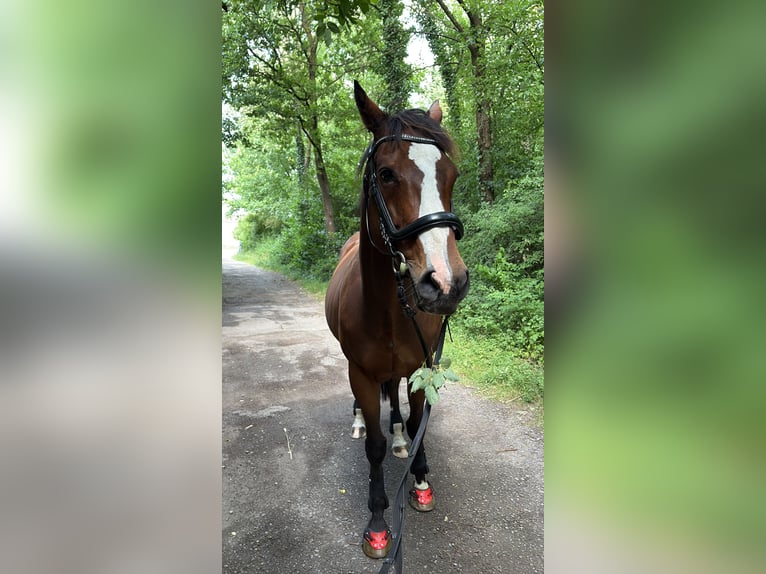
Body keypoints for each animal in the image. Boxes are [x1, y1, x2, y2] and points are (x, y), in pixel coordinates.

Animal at [325, 81, 470, 560]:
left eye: (451, 175)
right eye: (386, 174)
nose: (446, 282)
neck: (387, 310)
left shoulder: (422, 366)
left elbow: (417, 421)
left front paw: (421, 481)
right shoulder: (362, 374)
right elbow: (374, 447)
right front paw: (377, 523)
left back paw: (402, 439)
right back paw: (360, 422)